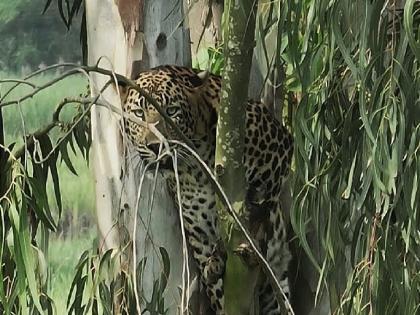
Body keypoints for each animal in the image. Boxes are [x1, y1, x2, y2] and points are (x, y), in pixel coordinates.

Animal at [117, 65, 296, 314]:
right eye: (139, 114)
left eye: (171, 111)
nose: (155, 146)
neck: (194, 165)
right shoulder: (199, 233)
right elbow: (218, 291)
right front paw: (217, 264)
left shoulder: (280, 148)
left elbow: (259, 204)